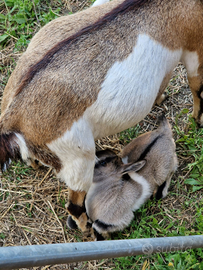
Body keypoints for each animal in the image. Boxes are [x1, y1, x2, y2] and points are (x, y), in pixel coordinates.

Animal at [0, 0, 202, 232]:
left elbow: (166, 79)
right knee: (74, 203)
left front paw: (161, 99)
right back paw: (85, 226)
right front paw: (196, 121)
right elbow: (196, 85)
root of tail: (15, 115)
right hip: (79, 159)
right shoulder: (194, 47)